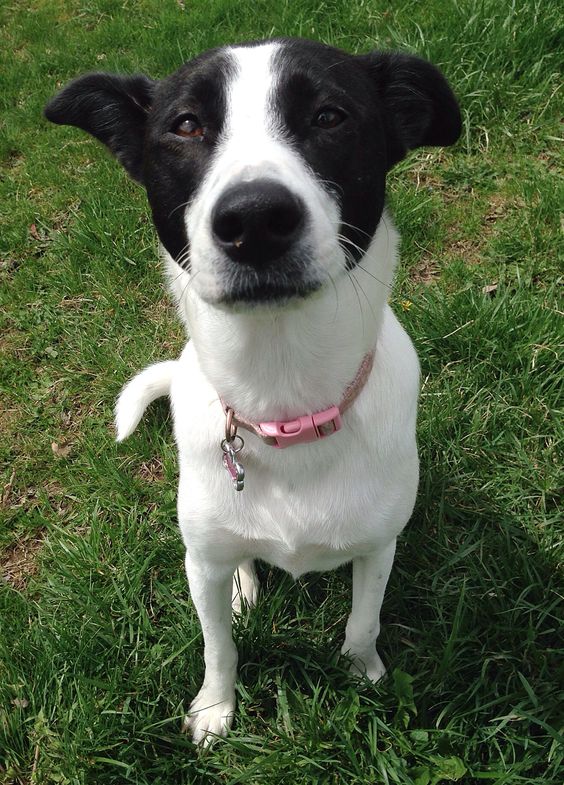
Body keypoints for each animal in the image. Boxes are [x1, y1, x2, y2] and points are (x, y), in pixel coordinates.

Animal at [46, 36, 460, 744]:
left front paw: (363, 674)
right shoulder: (201, 561)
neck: (283, 398)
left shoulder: (378, 547)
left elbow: (363, 621)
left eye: (329, 116)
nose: (256, 218)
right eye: (186, 125)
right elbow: (218, 647)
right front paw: (215, 710)